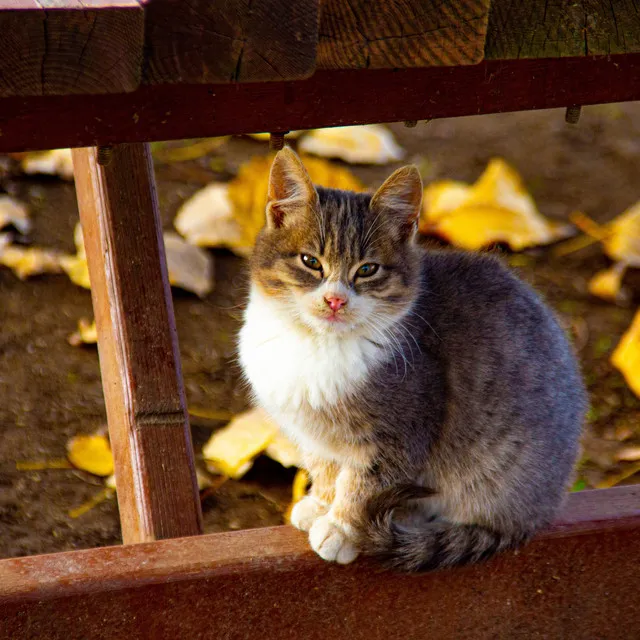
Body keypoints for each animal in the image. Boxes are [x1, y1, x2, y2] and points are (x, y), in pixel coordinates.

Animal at [239, 146, 584, 568]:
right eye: (311, 262)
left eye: (368, 269)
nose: (335, 300)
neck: (316, 345)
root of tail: (535, 515)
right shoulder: (315, 438)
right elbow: (325, 468)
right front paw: (320, 503)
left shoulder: (403, 431)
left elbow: (363, 485)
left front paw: (341, 528)